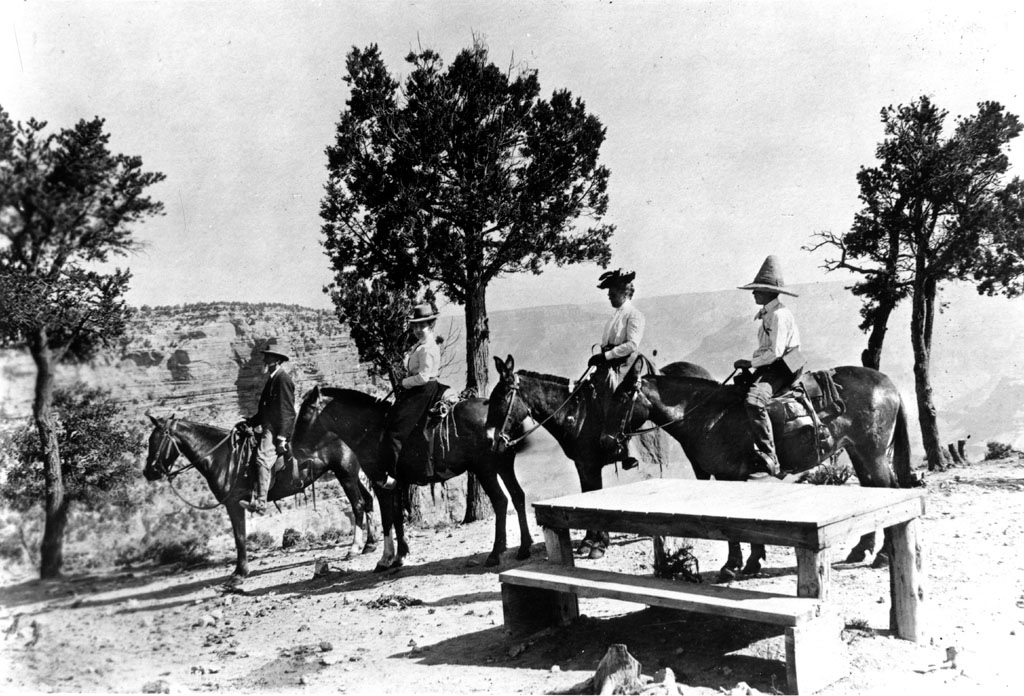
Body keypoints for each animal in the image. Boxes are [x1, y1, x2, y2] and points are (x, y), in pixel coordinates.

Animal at [146, 415, 378, 585]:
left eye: (157, 440)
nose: (149, 472)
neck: (224, 457)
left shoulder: (233, 504)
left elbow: (239, 537)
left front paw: (239, 574)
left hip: (345, 473)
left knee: (358, 505)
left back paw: (354, 549)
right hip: (352, 474)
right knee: (367, 501)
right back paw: (370, 544)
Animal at [292, 386, 532, 569]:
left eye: (306, 411)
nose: (294, 448)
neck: (371, 430)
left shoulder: (381, 483)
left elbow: (388, 518)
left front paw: (385, 559)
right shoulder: (398, 484)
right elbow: (398, 518)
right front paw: (401, 555)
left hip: (485, 469)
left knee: (501, 501)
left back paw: (495, 553)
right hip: (503, 466)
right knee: (518, 496)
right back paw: (525, 547)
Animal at [485, 356, 712, 560]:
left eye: (502, 397)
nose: (490, 439)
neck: (576, 414)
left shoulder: (590, 465)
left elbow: (593, 495)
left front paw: (599, 544)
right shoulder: (582, 465)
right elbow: (587, 493)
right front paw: (588, 542)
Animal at [598, 356, 913, 577]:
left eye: (622, 397)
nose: (606, 441)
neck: (706, 414)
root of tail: (889, 385)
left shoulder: (729, 476)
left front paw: (736, 564)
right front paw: (749, 561)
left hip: (872, 453)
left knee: (889, 491)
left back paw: (882, 555)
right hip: (858, 452)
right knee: (874, 493)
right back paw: (861, 550)